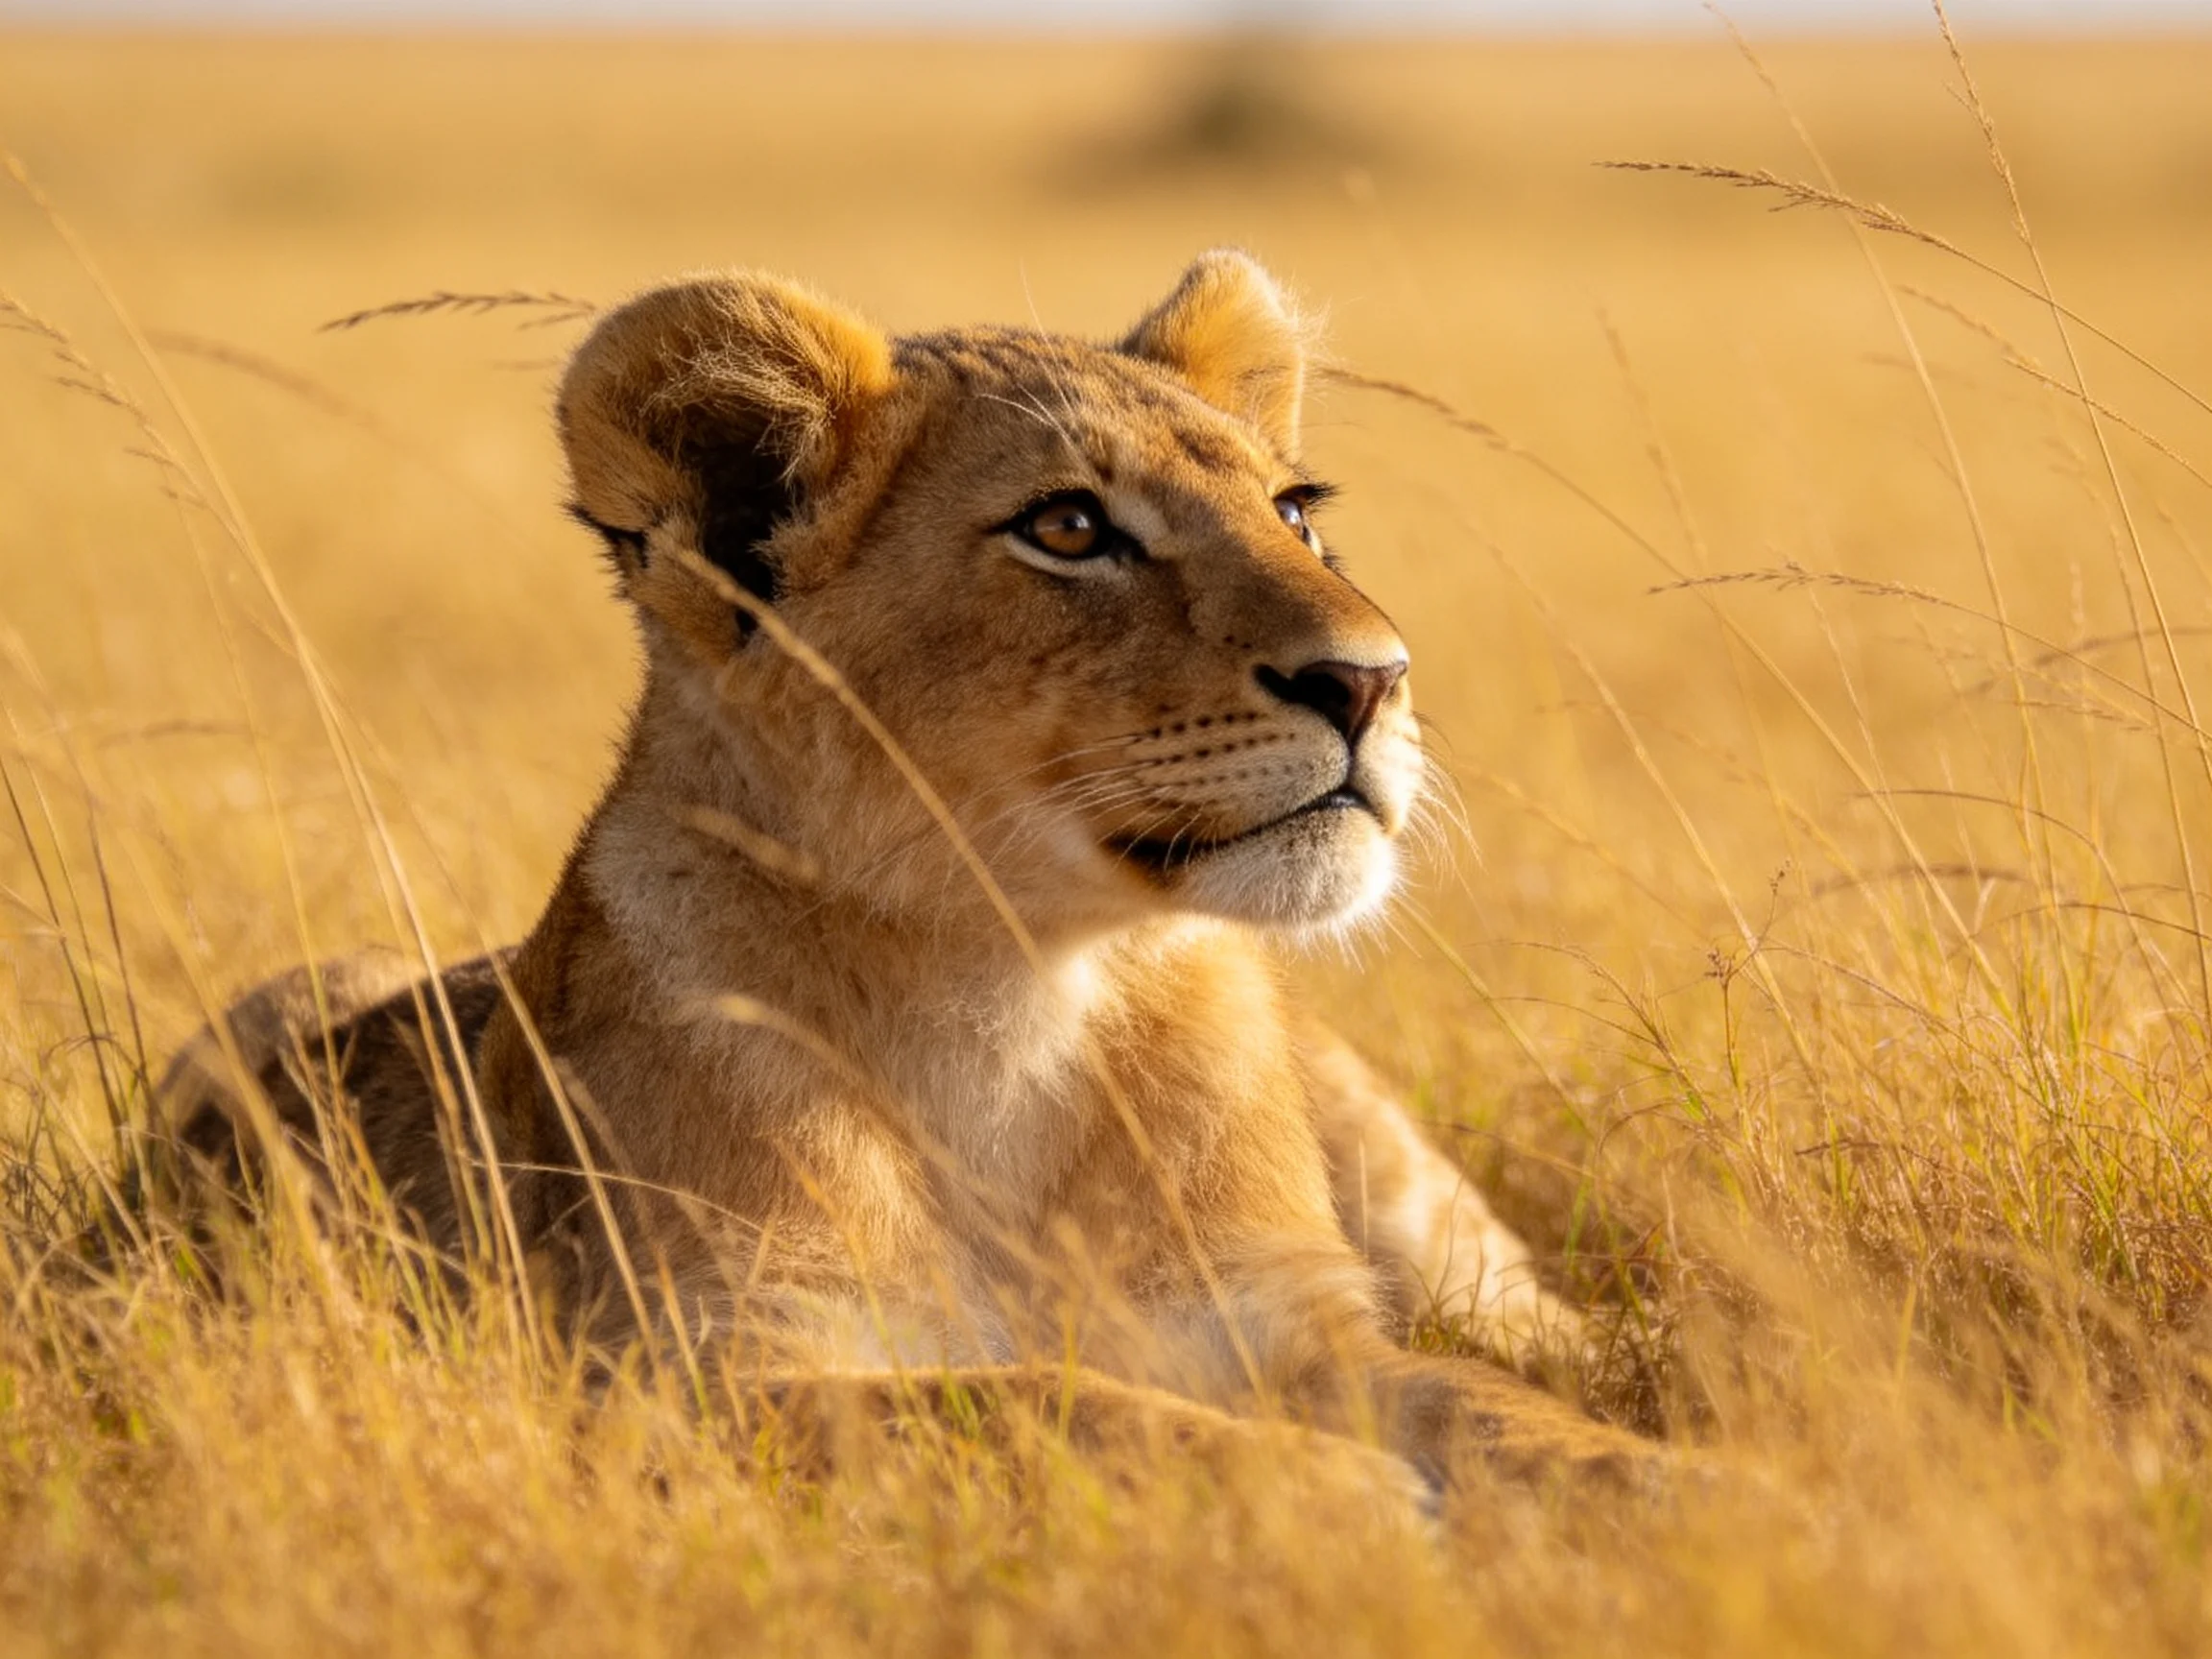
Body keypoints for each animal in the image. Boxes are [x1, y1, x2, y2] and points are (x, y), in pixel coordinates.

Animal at [159, 252, 1657, 1494]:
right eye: (1069, 529)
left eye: (1294, 511)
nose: (1372, 681)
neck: (1017, 991)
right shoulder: (701, 1375)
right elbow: (1039, 1404)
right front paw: (1337, 1494)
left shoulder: (1291, 1323)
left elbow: (1496, 1408)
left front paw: (1685, 1492)